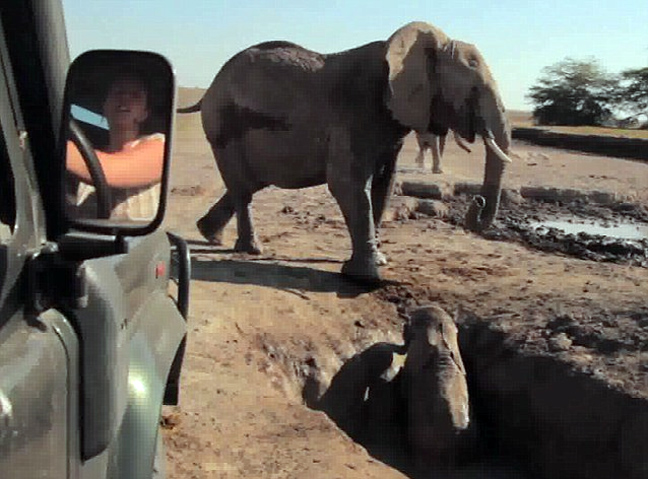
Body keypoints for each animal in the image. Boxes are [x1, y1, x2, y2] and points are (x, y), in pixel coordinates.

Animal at [177, 21, 512, 281]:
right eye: (473, 90)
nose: (478, 202)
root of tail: (209, 88)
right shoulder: (357, 111)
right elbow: (347, 183)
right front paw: (364, 275)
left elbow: (384, 185)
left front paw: (377, 260)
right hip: (223, 123)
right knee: (243, 186)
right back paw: (249, 249)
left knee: (250, 183)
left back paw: (211, 235)